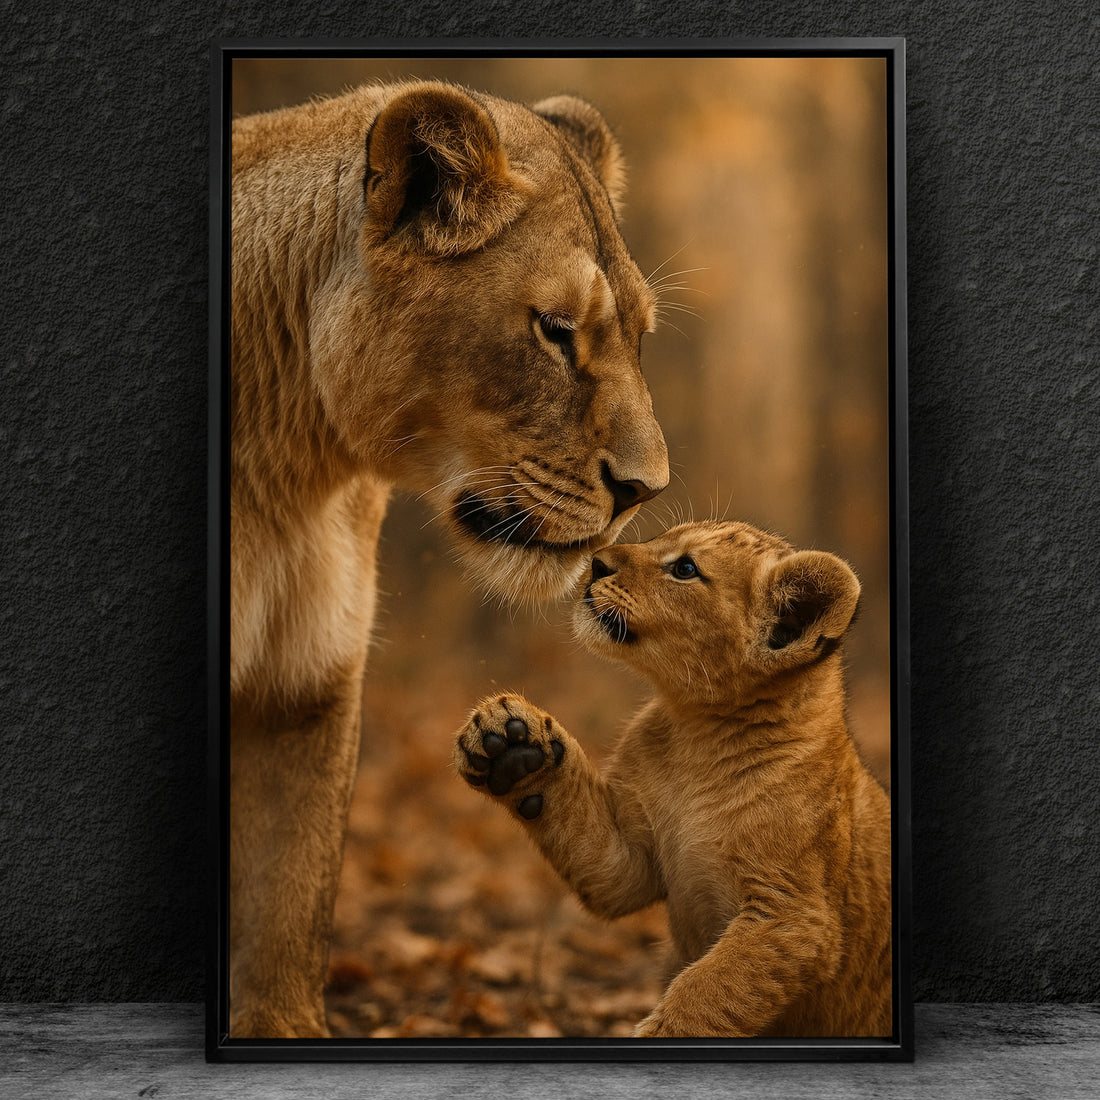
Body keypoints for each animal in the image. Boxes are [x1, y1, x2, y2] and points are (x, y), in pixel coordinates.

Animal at [229, 81, 669, 1038]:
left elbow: (283, 909)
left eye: (640, 334)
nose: (646, 488)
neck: (290, 468)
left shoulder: (304, 682)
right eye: (556, 330)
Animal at [454, 520, 892, 1038]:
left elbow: (709, 988)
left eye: (685, 569)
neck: (698, 735)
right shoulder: (631, 864)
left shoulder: (795, 916)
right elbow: (598, 854)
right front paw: (510, 742)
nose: (596, 563)